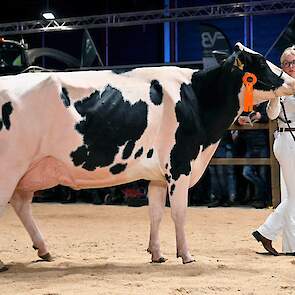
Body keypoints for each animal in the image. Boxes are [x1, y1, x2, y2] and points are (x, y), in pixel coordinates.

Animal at [0, 42, 295, 272]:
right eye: (260, 61)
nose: (292, 81)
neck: (198, 98)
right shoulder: (180, 165)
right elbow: (179, 213)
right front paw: (186, 255)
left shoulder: (158, 175)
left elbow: (155, 213)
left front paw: (157, 254)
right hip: (11, 167)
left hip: (29, 170)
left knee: (21, 204)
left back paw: (44, 250)